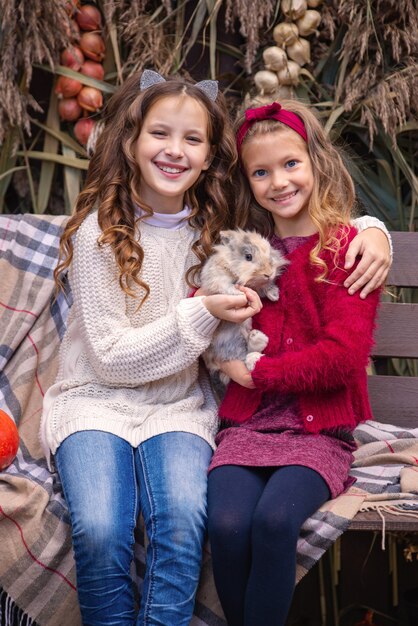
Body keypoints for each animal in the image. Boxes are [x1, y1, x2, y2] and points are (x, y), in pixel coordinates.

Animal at [199, 228, 288, 382]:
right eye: (248, 256)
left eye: (270, 254)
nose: (269, 274)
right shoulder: (217, 277)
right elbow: (224, 286)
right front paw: (239, 293)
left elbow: (265, 288)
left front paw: (274, 295)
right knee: (241, 356)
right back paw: (255, 351)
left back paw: (257, 340)